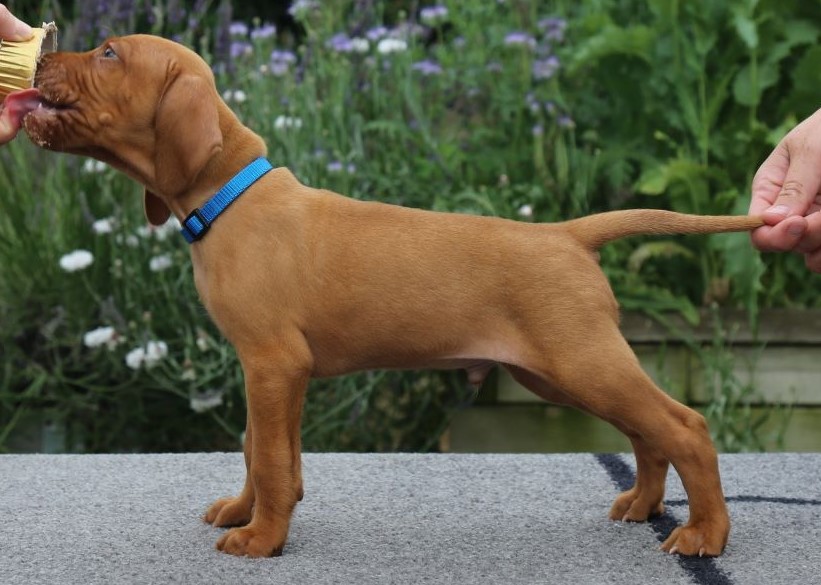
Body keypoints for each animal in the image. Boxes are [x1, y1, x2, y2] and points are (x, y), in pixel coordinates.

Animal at [14, 34, 764, 558]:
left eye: (109, 53)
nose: (41, 55)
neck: (230, 198)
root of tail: (567, 233)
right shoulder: (271, 370)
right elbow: (263, 448)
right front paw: (248, 510)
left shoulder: (273, 362)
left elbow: (270, 455)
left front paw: (262, 539)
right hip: (560, 371)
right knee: (646, 429)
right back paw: (642, 504)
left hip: (579, 359)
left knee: (683, 425)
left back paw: (707, 534)